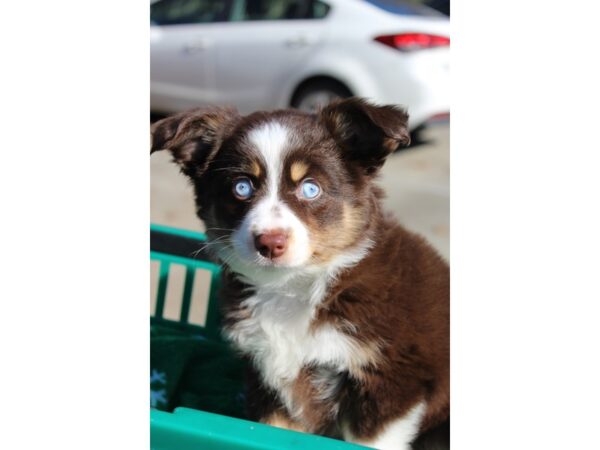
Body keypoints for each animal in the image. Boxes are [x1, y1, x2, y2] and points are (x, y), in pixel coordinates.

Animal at [152, 99, 448, 450]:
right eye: (241, 187)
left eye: (310, 188)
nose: (270, 242)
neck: (295, 285)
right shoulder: (268, 382)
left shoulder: (393, 380)